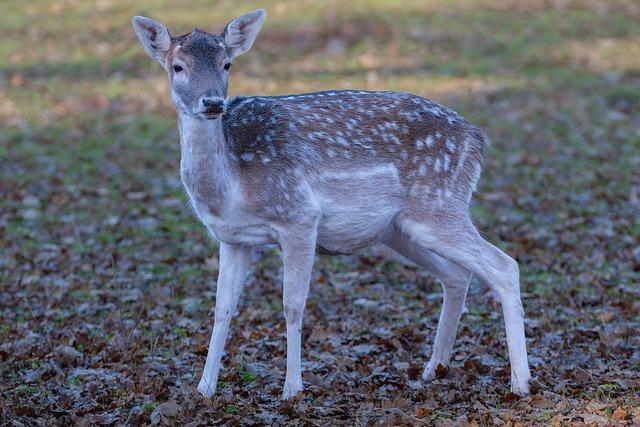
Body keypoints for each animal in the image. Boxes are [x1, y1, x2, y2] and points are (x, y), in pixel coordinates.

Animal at [131, 7, 528, 402]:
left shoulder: (300, 217)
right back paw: (434, 369)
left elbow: (292, 305)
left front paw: (292, 389)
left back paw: (520, 382)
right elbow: (222, 309)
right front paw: (204, 389)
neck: (233, 186)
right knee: (458, 275)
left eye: (227, 63)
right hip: (400, 229)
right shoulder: (233, 237)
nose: (213, 103)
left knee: (505, 265)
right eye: (177, 66)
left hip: (439, 204)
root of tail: (476, 139)